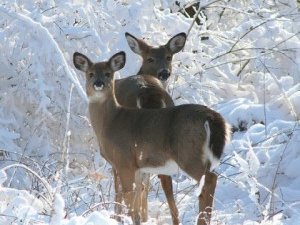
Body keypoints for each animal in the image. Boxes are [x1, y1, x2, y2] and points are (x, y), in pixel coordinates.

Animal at [72, 51, 230, 225]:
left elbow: (128, 197)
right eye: (90, 74)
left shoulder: (123, 161)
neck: (110, 122)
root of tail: (211, 117)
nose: (98, 83)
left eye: (108, 73)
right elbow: (136, 201)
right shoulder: (137, 166)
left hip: (188, 154)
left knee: (210, 179)